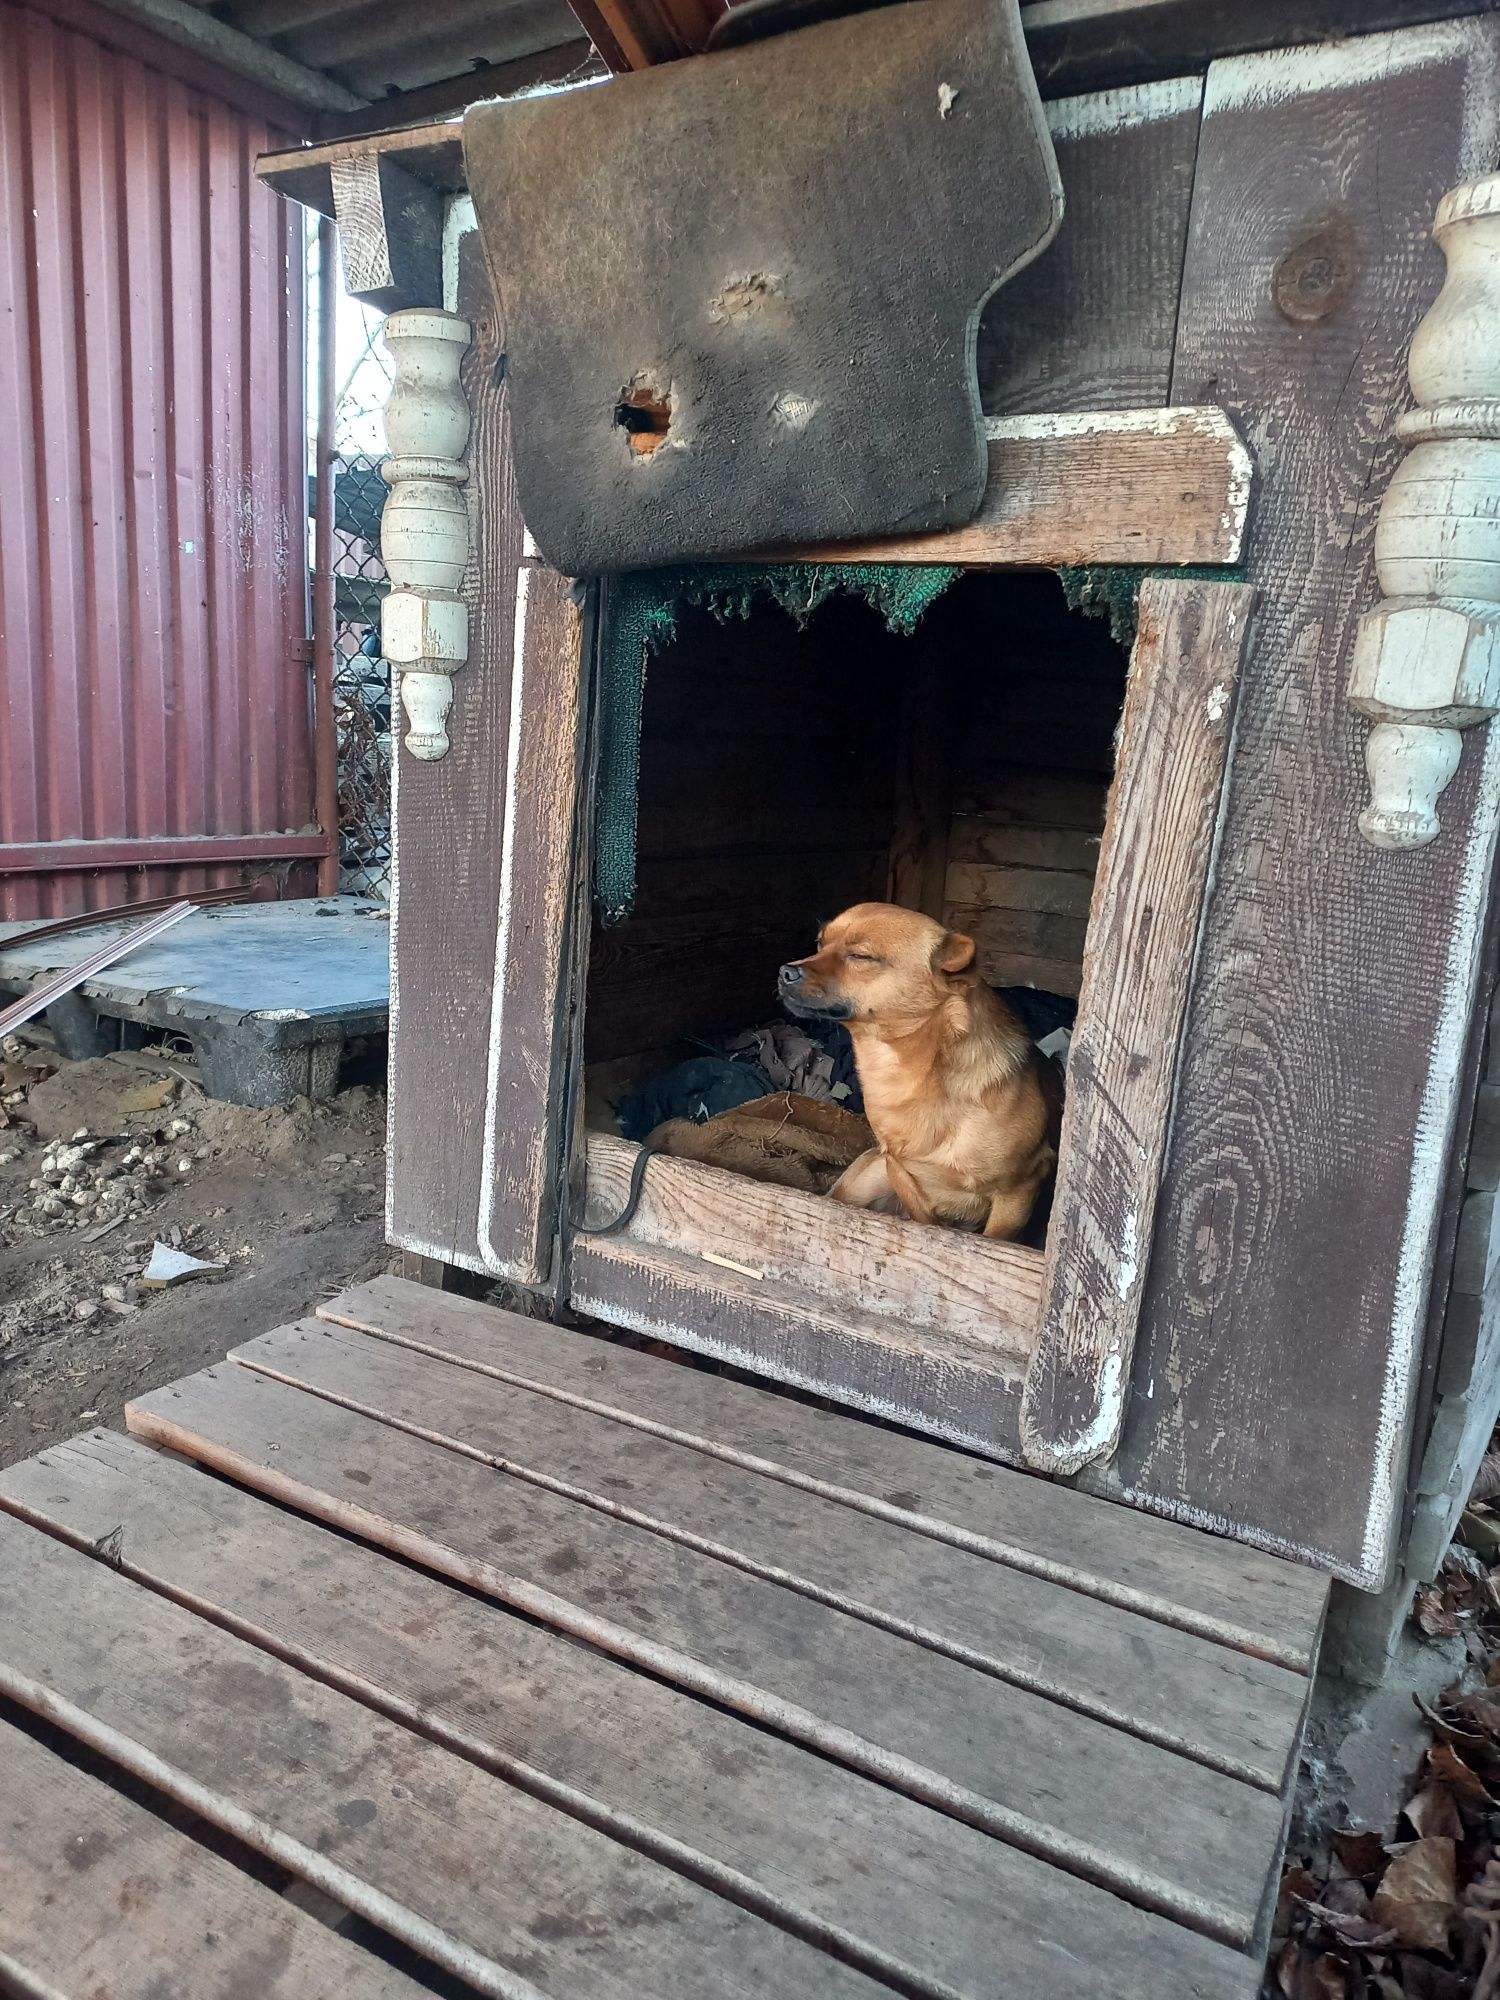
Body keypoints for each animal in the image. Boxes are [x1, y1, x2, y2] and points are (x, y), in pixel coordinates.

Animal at [780, 904, 1064, 1232]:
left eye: (861, 956)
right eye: (819, 944)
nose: (784, 972)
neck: (900, 1072)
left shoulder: (1018, 1193)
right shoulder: (898, 1171)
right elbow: (925, 1223)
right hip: (863, 1181)